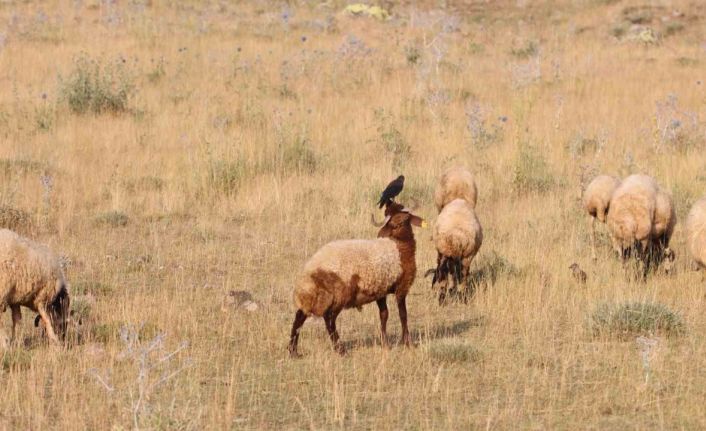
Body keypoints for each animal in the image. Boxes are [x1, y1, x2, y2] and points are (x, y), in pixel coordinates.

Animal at [288, 202, 424, 358]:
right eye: (394, 222)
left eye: (405, 219)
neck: (399, 245)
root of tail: (309, 273)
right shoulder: (402, 286)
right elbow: (403, 315)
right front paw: (408, 343)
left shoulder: (380, 290)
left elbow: (384, 315)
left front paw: (385, 344)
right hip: (339, 295)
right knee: (329, 319)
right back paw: (340, 350)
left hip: (314, 298)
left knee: (299, 317)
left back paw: (293, 351)